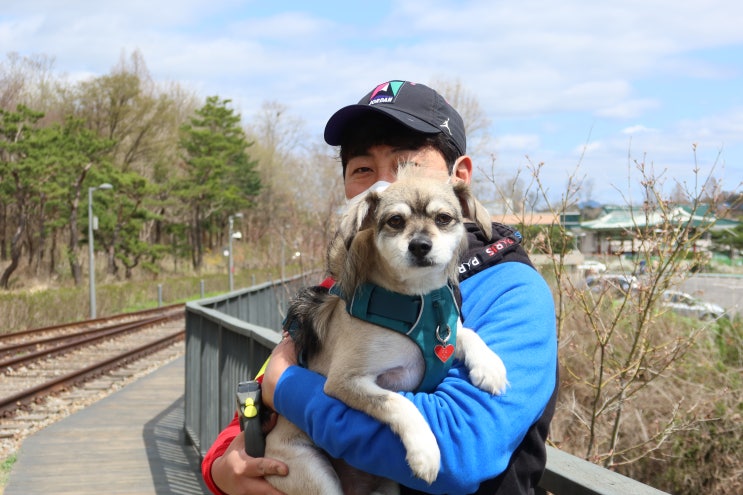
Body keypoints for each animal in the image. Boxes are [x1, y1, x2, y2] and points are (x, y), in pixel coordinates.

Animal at [264, 166, 508, 495]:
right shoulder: (345, 381)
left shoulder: (446, 334)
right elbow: (398, 402)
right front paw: (425, 451)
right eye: (395, 221)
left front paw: (490, 366)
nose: (420, 245)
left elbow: (468, 334)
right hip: (313, 472)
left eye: (443, 218)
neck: (418, 301)